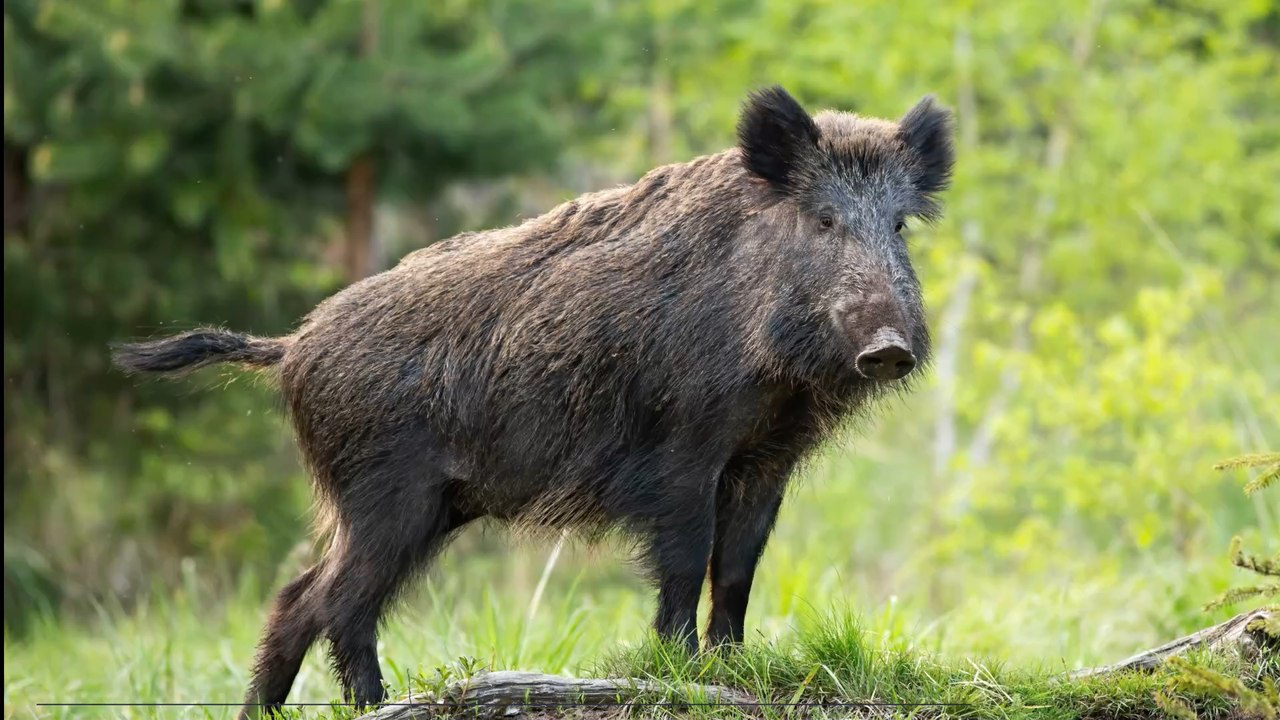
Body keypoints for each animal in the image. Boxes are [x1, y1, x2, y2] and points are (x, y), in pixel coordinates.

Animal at [113, 86, 953, 717]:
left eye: (899, 224)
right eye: (824, 218)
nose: (889, 347)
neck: (774, 380)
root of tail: (290, 347)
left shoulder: (763, 461)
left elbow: (739, 570)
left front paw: (732, 670)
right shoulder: (681, 453)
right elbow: (685, 564)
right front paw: (681, 673)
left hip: (421, 504)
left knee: (299, 598)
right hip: (388, 495)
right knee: (336, 601)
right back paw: (377, 705)